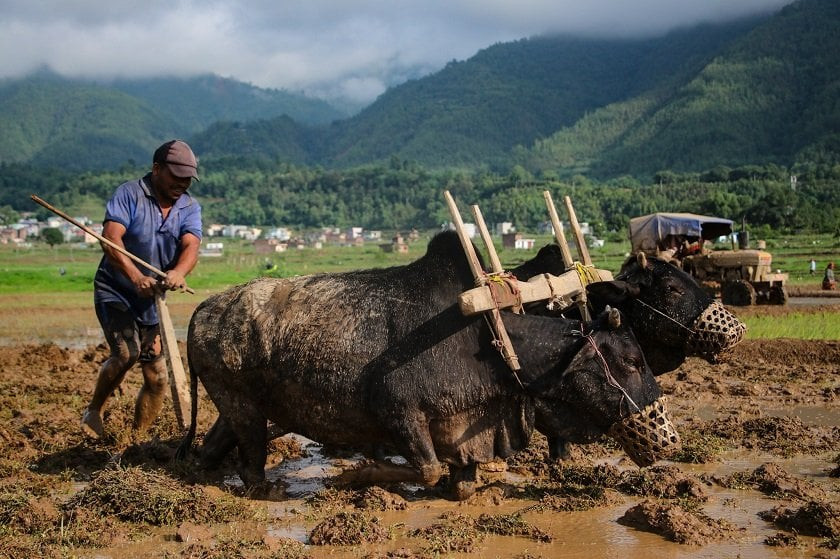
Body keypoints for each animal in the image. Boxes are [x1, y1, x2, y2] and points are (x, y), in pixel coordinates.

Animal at [179, 232, 676, 498]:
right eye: (631, 361)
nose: (669, 439)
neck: (487, 340)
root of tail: (203, 309)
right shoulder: (399, 413)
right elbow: (428, 468)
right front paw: (356, 476)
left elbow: (462, 479)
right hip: (241, 404)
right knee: (250, 463)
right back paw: (259, 488)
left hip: (240, 407)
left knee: (214, 445)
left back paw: (195, 475)